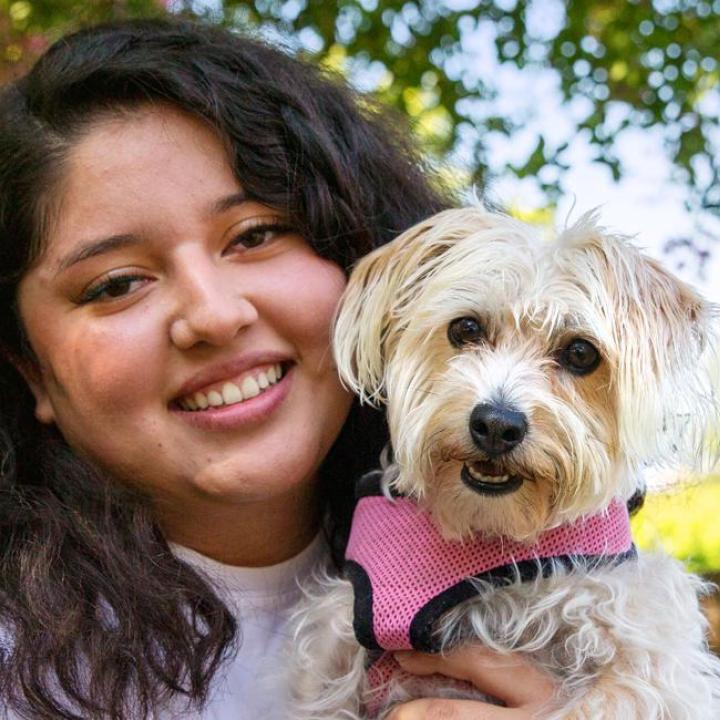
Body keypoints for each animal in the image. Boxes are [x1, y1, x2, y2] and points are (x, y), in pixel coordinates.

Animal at [286, 207, 720, 720]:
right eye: (466, 328)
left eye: (580, 353)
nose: (496, 424)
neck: (491, 533)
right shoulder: (331, 644)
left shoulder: (650, 657)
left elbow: (601, 700)